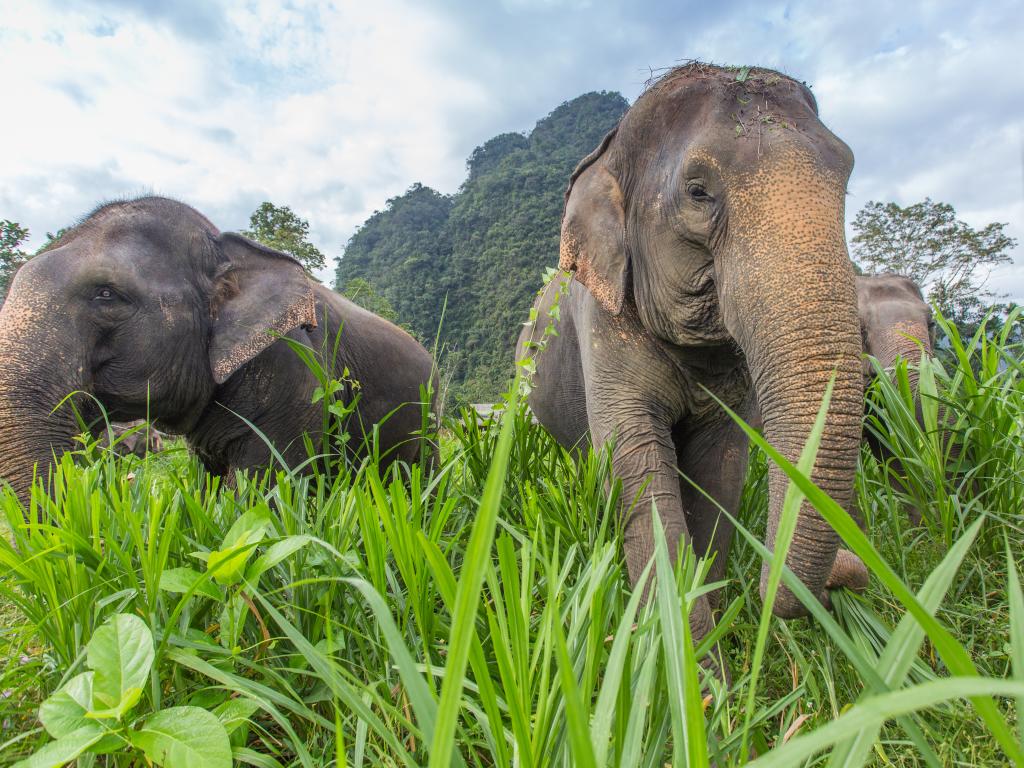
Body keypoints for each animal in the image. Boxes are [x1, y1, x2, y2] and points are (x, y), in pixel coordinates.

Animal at [516, 63, 868, 663]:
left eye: (846, 177)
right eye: (698, 192)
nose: (850, 573)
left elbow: (720, 473)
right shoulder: (603, 324)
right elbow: (637, 471)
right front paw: (694, 674)